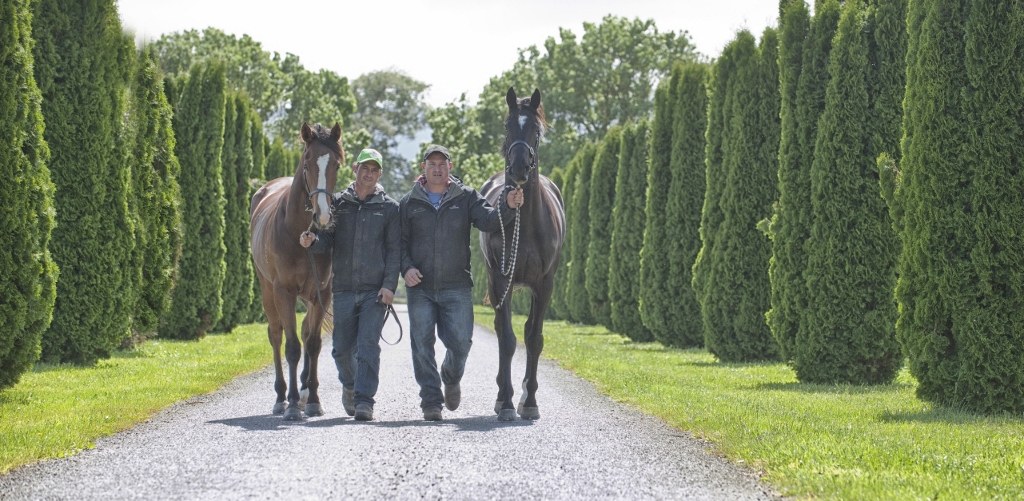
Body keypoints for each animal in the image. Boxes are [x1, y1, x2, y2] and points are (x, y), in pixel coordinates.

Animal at [250, 122, 344, 420]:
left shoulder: (321, 292)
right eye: (307, 163)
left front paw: (312, 399)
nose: (323, 216)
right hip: (267, 290)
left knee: (304, 333)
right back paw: (282, 397)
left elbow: (313, 344)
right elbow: (292, 347)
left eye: (336, 164)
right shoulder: (285, 292)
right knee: (276, 335)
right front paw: (291, 404)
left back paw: (303, 391)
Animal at [479, 88, 569, 420]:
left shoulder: (544, 285)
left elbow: (534, 337)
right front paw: (505, 402)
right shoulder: (501, 280)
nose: (519, 168)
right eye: (508, 126)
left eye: (536, 130)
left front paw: (529, 401)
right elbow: (507, 339)